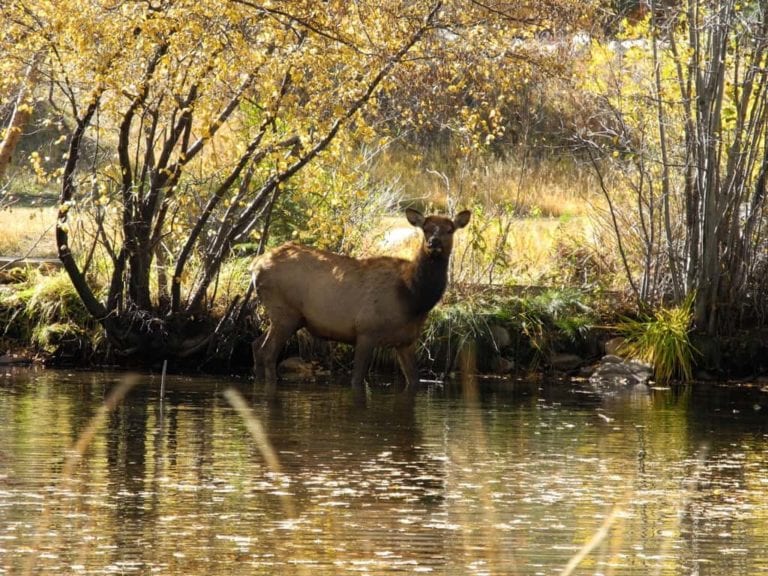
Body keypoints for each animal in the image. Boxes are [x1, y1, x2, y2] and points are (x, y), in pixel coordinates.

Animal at [251, 208, 471, 387]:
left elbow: (414, 381)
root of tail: (255, 266)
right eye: (425, 228)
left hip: (288, 317)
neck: (412, 299)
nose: (433, 242)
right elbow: (357, 379)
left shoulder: (406, 341)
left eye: (450, 229)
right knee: (267, 352)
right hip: (284, 311)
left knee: (256, 346)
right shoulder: (366, 330)